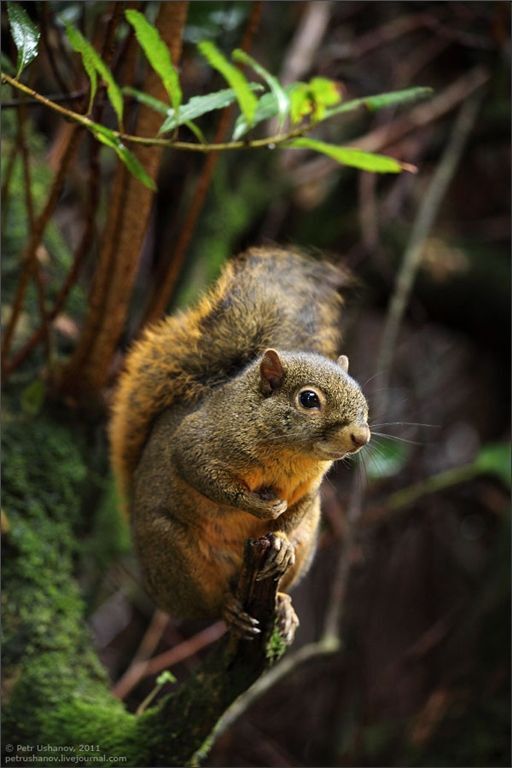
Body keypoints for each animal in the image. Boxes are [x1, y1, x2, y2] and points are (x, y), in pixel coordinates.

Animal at [110, 248, 370, 640]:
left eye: (363, 399)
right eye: (309, 399)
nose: (361, 437)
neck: (291, 454)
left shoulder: (311, 487)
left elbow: (299, 509)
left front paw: (279, 540)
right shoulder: (198, 442)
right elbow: (200, 472)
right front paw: (260, 507)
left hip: (306, 544)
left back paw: (283, 605)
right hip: (176, 559)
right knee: (208, 606)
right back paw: (230, 611)